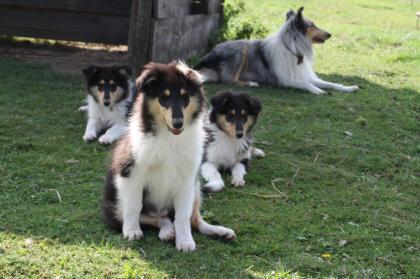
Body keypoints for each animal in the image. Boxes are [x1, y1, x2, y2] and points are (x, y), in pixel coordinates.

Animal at [100, 61, 235, 254]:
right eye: (164, 97)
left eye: (185, 97)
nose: (178, 123)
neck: (170, 137)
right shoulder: (130, 173)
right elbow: (134, 206)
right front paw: (132, 231)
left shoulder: (187, 180)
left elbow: (183, 216)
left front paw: (185, 241)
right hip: (115, 204)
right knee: (152, 217)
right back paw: (166, 231)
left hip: (196, 189)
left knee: (194, 220)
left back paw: (218, 231)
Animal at [195, 6, 360, 95]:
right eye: (312, 25)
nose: (330, 34)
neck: (293, 49)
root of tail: (208, 55)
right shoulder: (287, 79)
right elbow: (307, 85)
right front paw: (319, 91)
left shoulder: (306, 75)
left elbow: (331, 83)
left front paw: (349, 88)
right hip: (241, 50)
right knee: (228, 79)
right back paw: (251, 83)